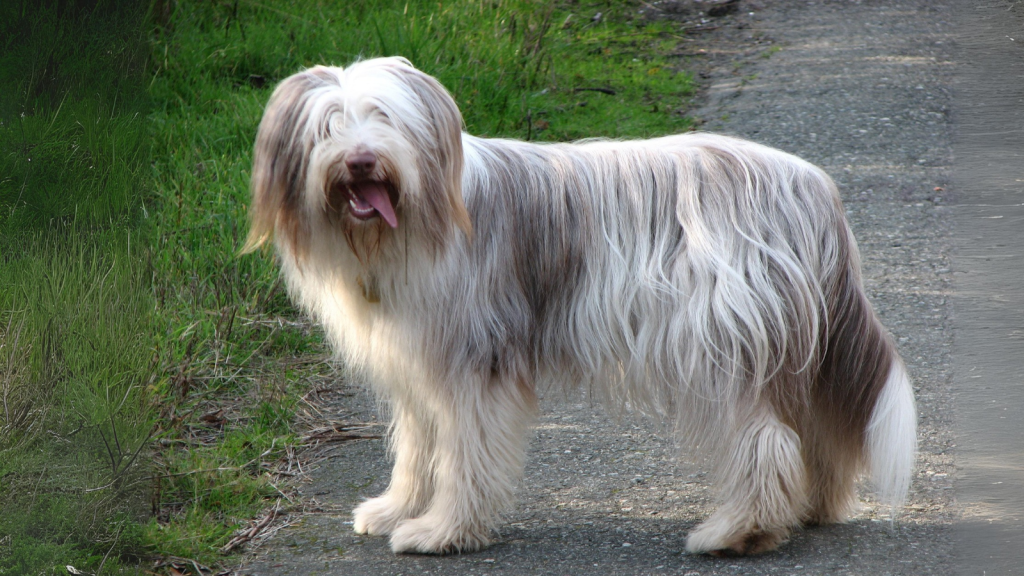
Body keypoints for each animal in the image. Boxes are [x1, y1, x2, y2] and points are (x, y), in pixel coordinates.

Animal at [243, 57, 917, 553]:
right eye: (328, 125)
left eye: (384, 118)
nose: (362, 160)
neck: (407, 225)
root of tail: (814, 186)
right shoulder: (418, 362)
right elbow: (417, 447)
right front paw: (396, 509)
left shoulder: (475, 363)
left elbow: (464, 453)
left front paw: (443, 531)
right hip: (791, 346)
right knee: (814, 424)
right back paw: (810, 508)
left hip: (718, 343)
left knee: (764, 438)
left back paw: (738, 531)